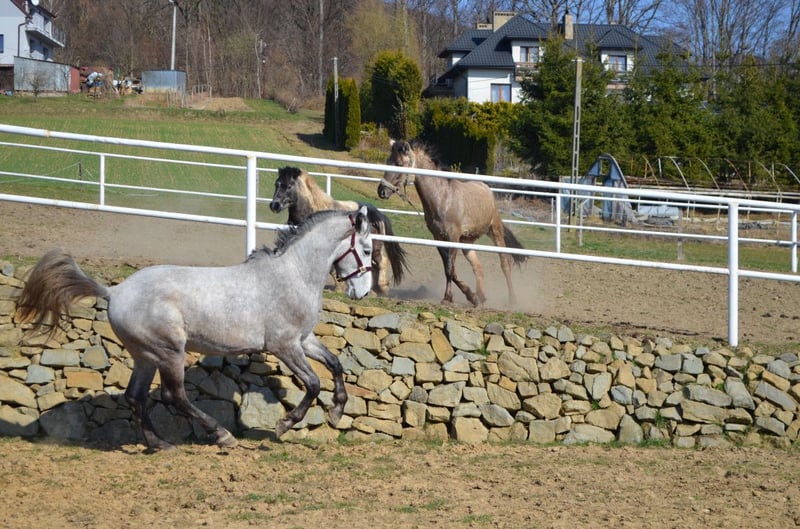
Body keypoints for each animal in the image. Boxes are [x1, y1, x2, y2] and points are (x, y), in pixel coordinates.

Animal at [16, 208, 373, 451]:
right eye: (368, 249)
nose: (363, 292)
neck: (293, 273)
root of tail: (114, 292)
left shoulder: (304, 340)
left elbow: (336, 365)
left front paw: (336, 413)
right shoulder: (284, 345)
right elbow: (313, 384)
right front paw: (284, 425)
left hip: (145, 356)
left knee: (135, 396)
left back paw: (159, 444)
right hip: (169, 352)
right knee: (174, 396)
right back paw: (221, 435)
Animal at [270, 166, 408, 295]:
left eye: (289, 186)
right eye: (276, 183)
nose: (274, 205)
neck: (313, 210)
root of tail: (378, 214)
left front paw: (338, 288)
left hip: (374, 247)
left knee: (382, 262)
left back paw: (382, 288)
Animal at [378, 139, 526, 307]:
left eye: (398, 163)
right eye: (387, 161)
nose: (381, 191)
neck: (443, 198)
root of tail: (486, 188)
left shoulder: (453, 238)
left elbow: (449, 269)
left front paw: (447, 298)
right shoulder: (439, 238)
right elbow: (450, 270)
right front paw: (471, 296)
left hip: (495, 231)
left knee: (505, 264)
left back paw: (512, 300)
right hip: (467, 242)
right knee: (478, 267)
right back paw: (480, 297)